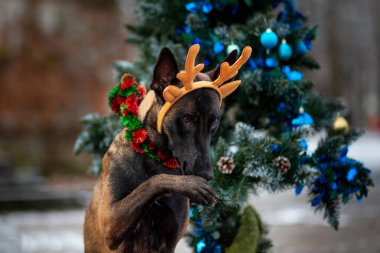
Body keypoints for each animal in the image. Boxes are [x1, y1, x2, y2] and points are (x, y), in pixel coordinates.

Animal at [85, 47, 238, 251]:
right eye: (187, 119)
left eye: (214, 121)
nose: (206, 175)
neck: (156, 157)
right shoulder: (110, 222)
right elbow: (152, 182)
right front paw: (191, 184)